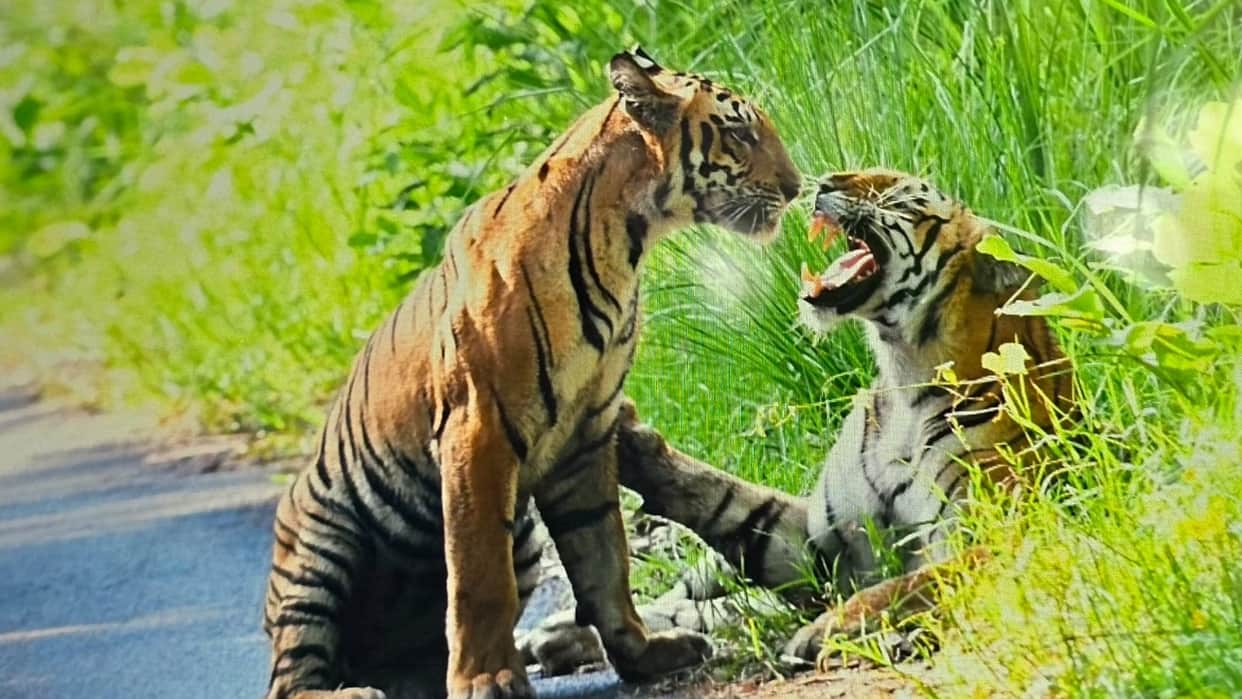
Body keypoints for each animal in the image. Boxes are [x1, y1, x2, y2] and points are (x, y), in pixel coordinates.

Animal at [261, 46, 801, 699]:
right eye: (741, 132)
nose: (798, 188)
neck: (627, 240)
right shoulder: (479, 428)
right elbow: (478, 576)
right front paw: (488, 679)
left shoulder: (587, 432)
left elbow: (605, 557)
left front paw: (644, 654)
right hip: (319, 546)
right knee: (288, 678)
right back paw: (356, 690)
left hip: (522, 540)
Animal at [521, 168, 1075, 674]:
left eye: (897, 192)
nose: (825, 181)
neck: (906, 376)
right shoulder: (822, 546)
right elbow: (731, 502)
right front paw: (628, 441)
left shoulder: (988, 537)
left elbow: (906, 583)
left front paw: (825, 632)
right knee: (692, 596)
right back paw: (556, 634)